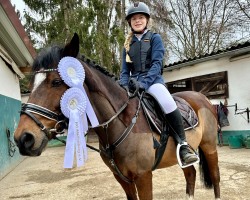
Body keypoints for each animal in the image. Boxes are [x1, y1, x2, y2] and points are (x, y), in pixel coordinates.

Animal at [14, 33, 221, 199]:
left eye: (56, 82)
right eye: (31, 84)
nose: (23, 138)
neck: (119, 124)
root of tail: (203, 97)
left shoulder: (144, 176)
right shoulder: (122, 179)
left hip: (209, 146)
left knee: (215, 177)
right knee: (191, 175)